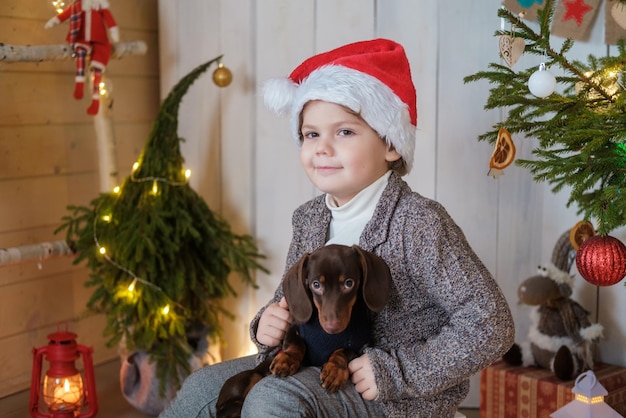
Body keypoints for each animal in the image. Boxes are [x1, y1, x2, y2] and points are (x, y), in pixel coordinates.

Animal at [214, 245, 390, 418]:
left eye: (349, 283)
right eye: (316, 285)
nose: (332, 326)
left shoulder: (361, 345)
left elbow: (344, 350)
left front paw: (334, 371)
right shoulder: (293, 327)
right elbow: (296, 343)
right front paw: (287, 360)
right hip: (250, 376)